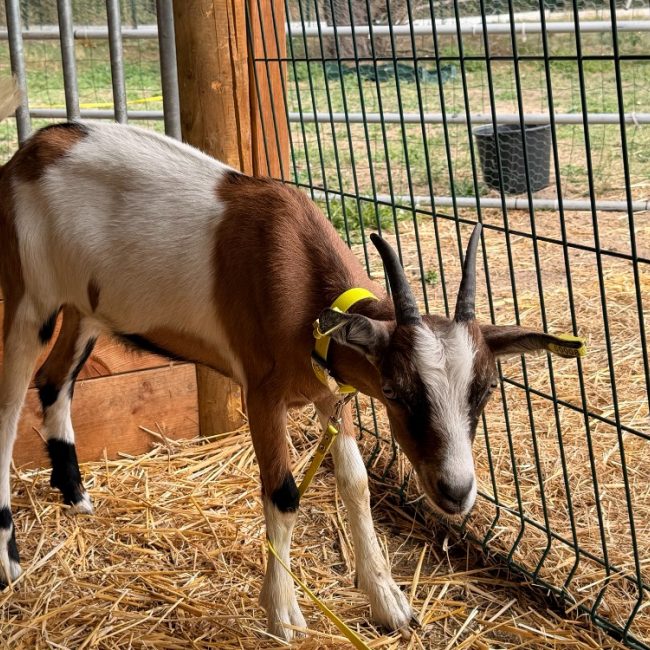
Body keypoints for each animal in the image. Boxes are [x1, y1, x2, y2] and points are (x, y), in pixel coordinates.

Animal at [0, 80, 582, 639]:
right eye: (396, 390)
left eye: (485, 390)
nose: (456, 491)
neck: (302, 285)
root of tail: (30, 152)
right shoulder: (261, 394)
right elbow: (282, 493)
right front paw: (282, 614)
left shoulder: (330, 391)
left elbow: (356, 483)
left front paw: (389, 602)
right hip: (29, 302)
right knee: (8, 409)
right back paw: (9, 559)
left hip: (85, 308)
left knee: (54, 381)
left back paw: (76, 494)